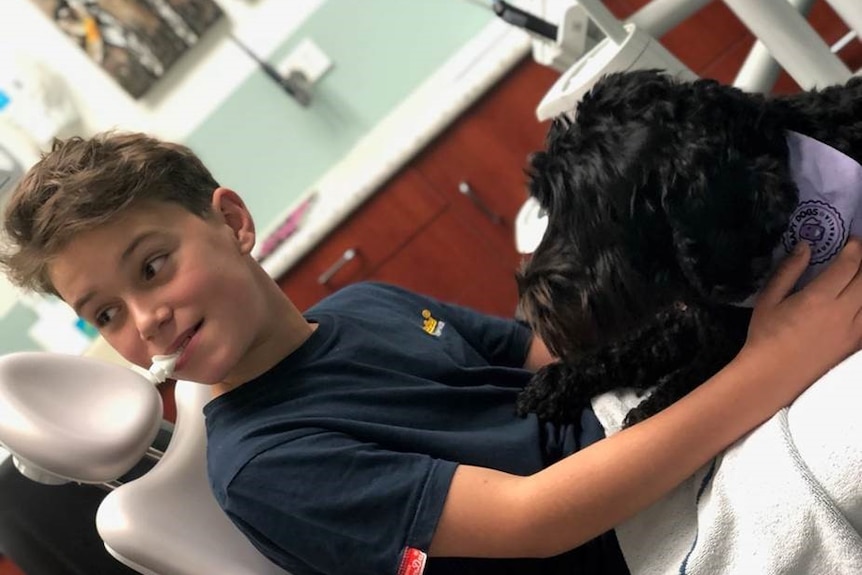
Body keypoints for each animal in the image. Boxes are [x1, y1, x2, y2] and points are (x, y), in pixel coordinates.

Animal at [516, 68, 862, 428]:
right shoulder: (701, 316)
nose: (526, 303)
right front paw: (556, 383)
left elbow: (692, 378)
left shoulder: (728, 334)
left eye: (590, 205)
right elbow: (637, 344)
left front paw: (646, 411)